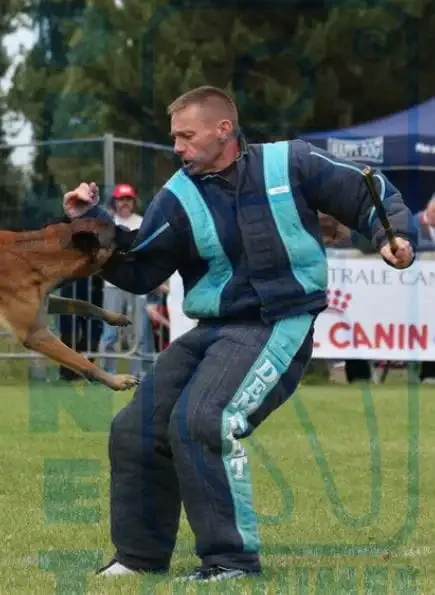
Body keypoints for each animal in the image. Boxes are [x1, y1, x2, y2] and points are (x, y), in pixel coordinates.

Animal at [0, 216, 139, 391]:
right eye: (117, 232)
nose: (137, 230)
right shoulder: (36, 334)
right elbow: (81, 361)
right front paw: (116, 380)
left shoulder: (46, 302)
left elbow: (84, 304)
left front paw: (115, 317)